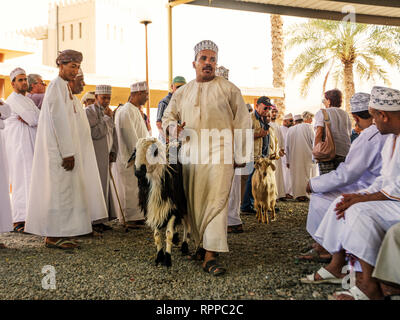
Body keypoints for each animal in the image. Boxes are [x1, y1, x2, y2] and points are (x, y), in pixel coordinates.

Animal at [128, 138, 191, 268]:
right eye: (135, 151)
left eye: (154, 150)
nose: (138, 172)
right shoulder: (152, 208)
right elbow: (157, 236)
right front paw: (159, 256)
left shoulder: (174, 207)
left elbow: (168, 234)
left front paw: (167, 259)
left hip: (184, 202)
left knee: (187, 223)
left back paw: (184, 245)